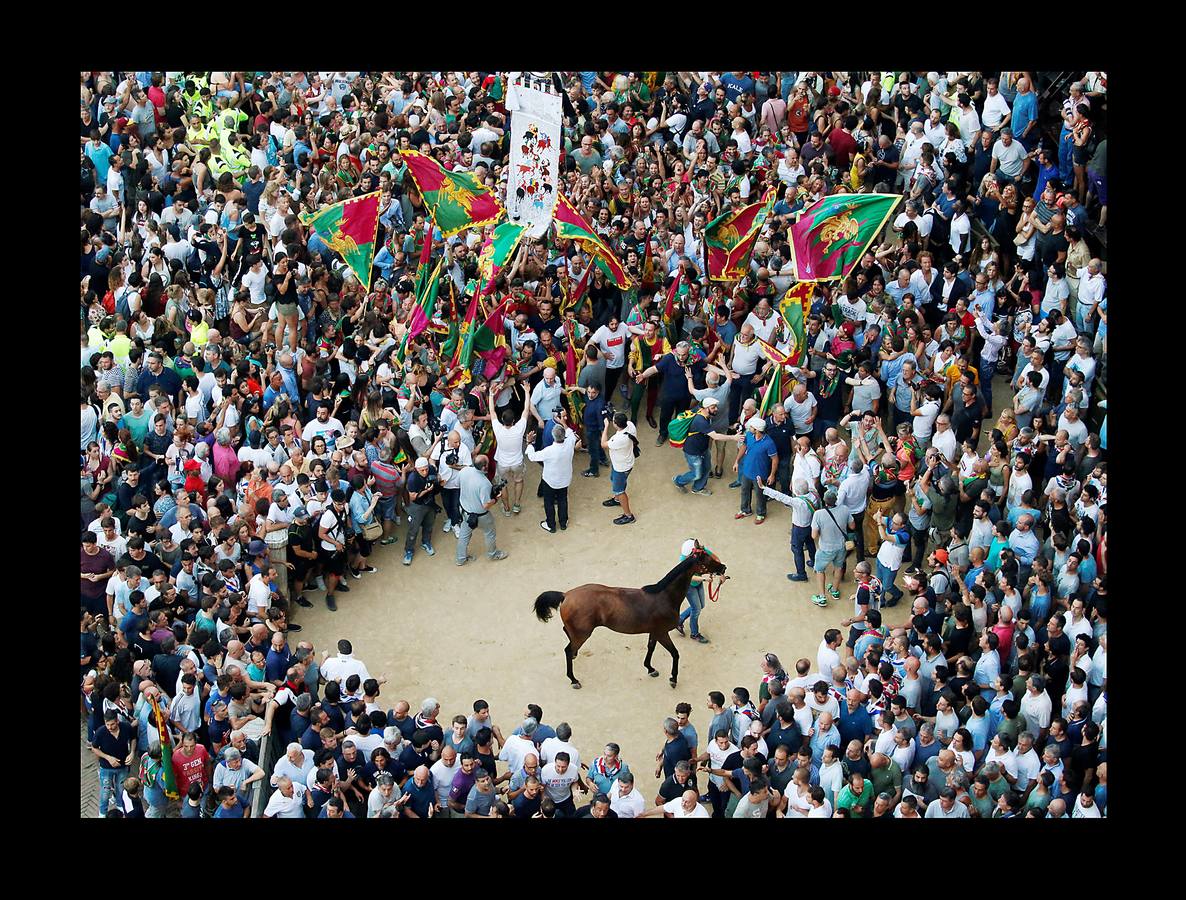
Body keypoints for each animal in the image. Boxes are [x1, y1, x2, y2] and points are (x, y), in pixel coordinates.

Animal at [533, 543, 725, 687]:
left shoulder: (654, 632)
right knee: (567, 649)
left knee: (567, 636)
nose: (724, 567)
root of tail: (566, 595)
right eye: (708, 559)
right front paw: (673, 678)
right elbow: (675, 653)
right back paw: (573, 679)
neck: (664, 596)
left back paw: (574, 655)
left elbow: (650, 648)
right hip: (583, 633)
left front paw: (650, 668)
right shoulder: (662, 632)